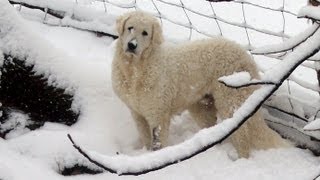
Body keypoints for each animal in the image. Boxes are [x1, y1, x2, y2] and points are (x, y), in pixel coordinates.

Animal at [111, 10, 288, 158]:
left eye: (145, 33)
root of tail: (245, 54)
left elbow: (159, 143)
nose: (132, 45)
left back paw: (241, 160)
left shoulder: (158, 114)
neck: (136, 70)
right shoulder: (137, 112)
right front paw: (146, 155)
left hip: (230, 100)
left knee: (242, 134)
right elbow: (146, 139)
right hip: (202, 107)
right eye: (130, 28)